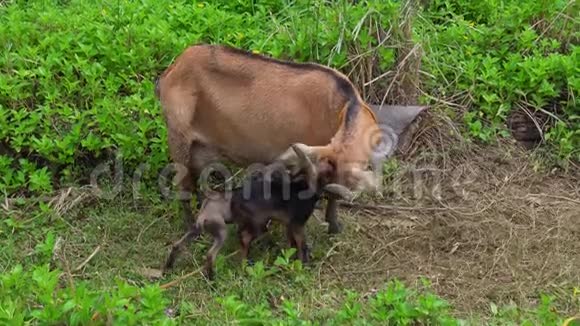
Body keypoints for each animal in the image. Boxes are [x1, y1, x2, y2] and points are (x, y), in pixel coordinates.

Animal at [154, 43, 380, 234]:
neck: (345, 106)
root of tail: (170, 72)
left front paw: (334, 227)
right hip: (178, 137)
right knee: (182, 185)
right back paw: (192, 227)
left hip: (200, 148)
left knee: (197, 179)